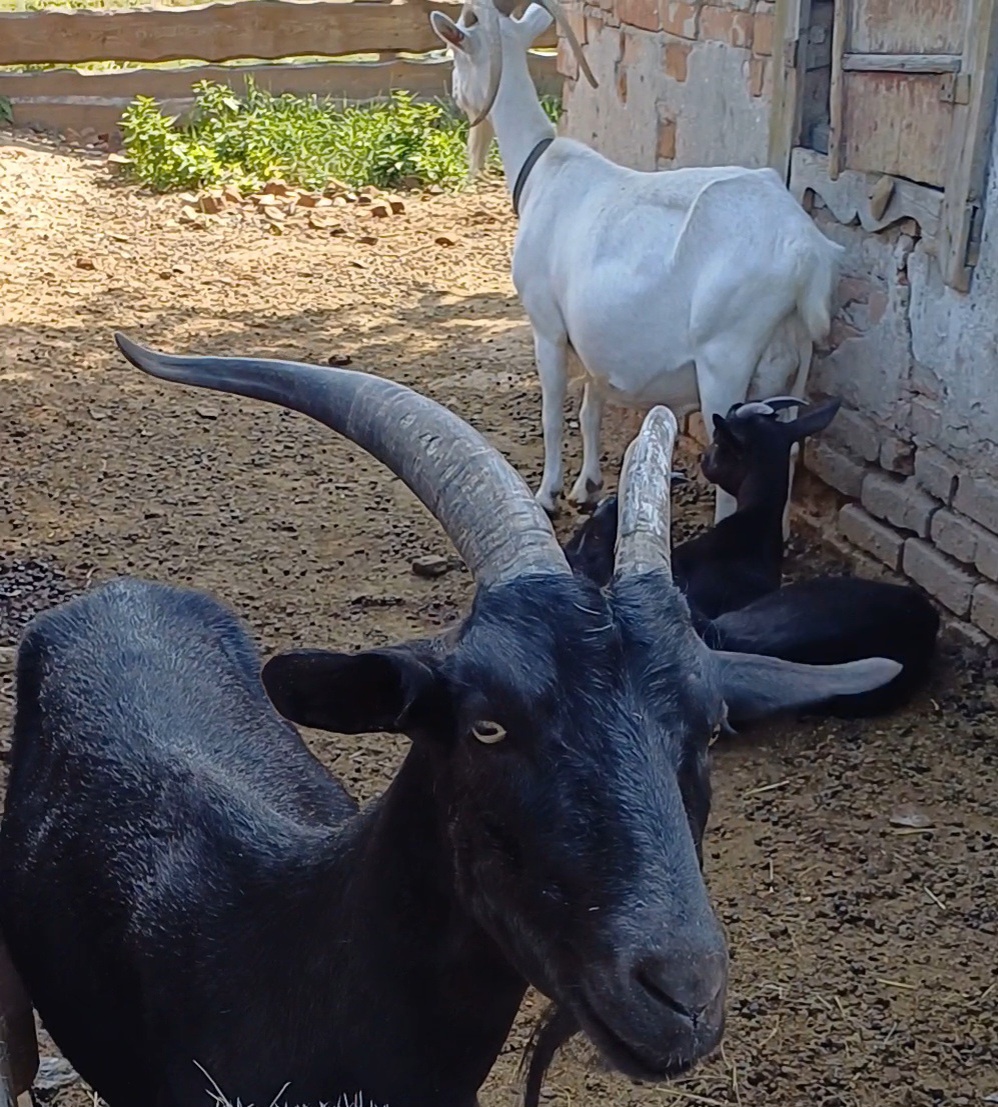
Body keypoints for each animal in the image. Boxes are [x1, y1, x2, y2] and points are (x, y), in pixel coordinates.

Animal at [430, 0, 844, 526]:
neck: (541, 169)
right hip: (798, 361)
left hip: (725, 360)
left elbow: (552, 413)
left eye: (454, 53)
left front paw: (547, 493)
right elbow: (591, 407)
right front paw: (587, 487)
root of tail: (806, 254)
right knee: (786, 453)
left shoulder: (548, 324)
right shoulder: (591, 335)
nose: (455, 95)